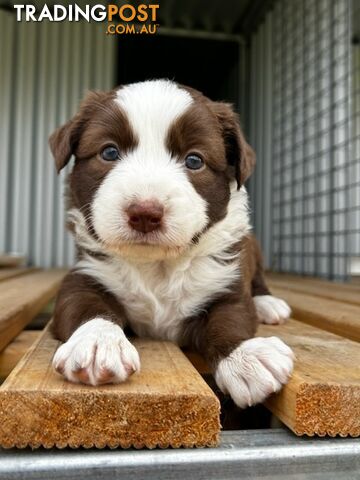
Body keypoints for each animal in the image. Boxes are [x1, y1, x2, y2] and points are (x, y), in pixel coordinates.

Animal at [49, 79, 294, 408]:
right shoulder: (85, 273)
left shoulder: (226, 283)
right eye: (109, 152)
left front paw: (246, 356)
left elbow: (230, 319)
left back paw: (268, 304)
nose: (144, 213)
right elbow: (84, 305)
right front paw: (97, 342)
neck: (157, 264)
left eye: (194, 160)